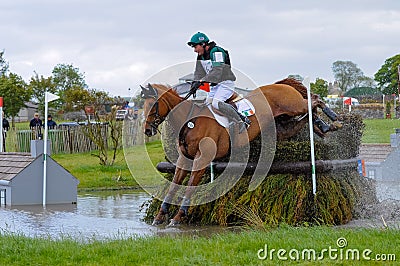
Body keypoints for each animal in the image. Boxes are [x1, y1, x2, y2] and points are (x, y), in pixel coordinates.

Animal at [141, 78, 340, 225]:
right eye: (143, 106)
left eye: (153, 104)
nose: (147, 130)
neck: (191, 122)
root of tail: (281, 84)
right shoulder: (185, 159)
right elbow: (174, 185)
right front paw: (160, 216)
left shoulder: (202, 159)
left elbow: (189, 186)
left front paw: (178, 216)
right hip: (284, 125)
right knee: (306, 115)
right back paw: (323, 127)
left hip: (294, 105)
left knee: (314, 99)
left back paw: (334, 119)